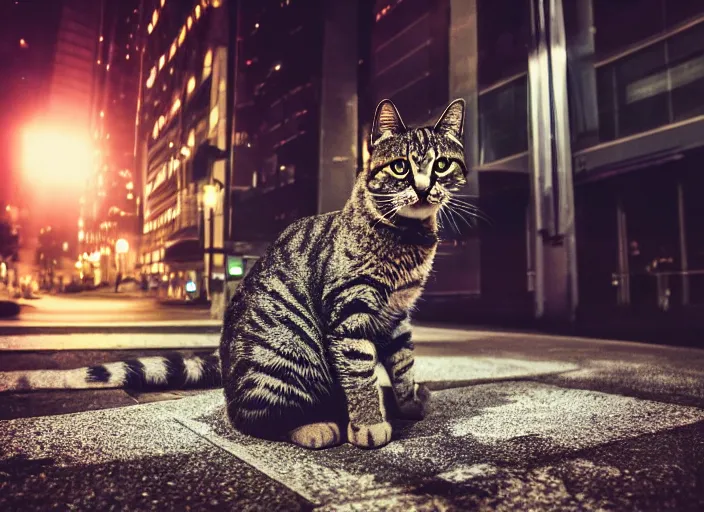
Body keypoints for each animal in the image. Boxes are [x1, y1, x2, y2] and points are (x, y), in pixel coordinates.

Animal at [0, 98, 468, 450]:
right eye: (401, 167)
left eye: (442, 165)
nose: (424, 188)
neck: (408, 238)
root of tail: (225, 369)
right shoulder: (350, 312)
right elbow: (360, 374)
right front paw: (370, 422)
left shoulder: (396, 314)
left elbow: (403, 365)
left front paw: (408, 403)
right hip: (287, 357)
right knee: (253, 417)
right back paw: (316, 425)